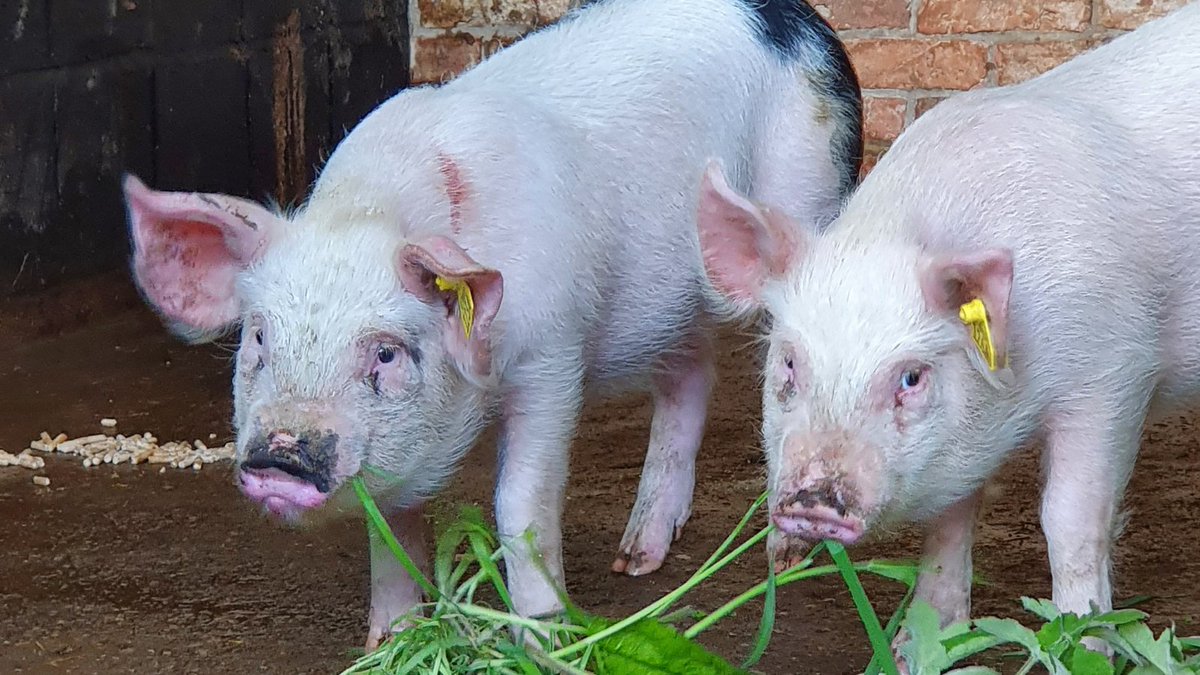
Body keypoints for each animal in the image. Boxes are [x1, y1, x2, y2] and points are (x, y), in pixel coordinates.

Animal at [122, 0, 863, 649]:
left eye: (386, 354)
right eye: (258, 337)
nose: (280, 455)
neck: (373, 209)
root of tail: (801, 22)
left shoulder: (553, 358)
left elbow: (520, 503)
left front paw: (544, 639)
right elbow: (389, 525)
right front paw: (391, 641)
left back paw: (785, 555)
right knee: (689, 374)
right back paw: (636, 559)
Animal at [696, 0, 1200, 653]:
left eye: (911, 377)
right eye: (787, 360)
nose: (813, 502)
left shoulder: (1116, 373)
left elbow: (1070, 520)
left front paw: (1082, 647)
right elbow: (947, 524)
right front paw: (920, 647)